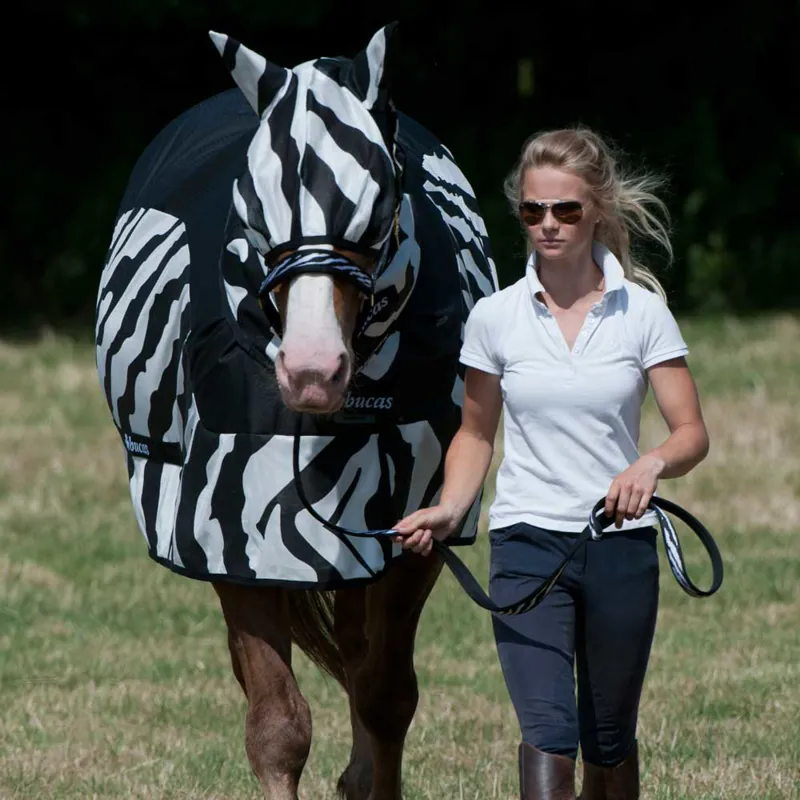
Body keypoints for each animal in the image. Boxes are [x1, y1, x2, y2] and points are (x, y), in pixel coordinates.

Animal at [95, 22, 498, 799]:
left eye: (381, 206)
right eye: (251, 212)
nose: (312, 373)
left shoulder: (413, 522)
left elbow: (384, 692)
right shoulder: (228, 527)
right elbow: (278, 725)